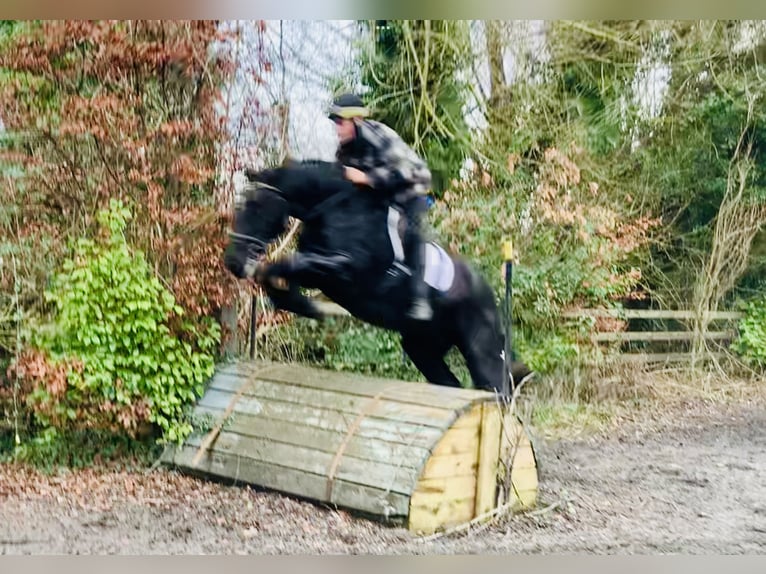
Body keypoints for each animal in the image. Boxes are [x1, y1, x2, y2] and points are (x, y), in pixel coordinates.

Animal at [225, 160, 532, 398]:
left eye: (256, 207)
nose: (233, 262)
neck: (333, 207)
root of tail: (490, 297)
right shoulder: (322, 275)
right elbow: (283, 273)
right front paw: (302, 304)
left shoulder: (347, 271)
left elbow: (290, 264)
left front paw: (315, 308)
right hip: (422, 347)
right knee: (451, 383)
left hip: (480, 348)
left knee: (496, 386)